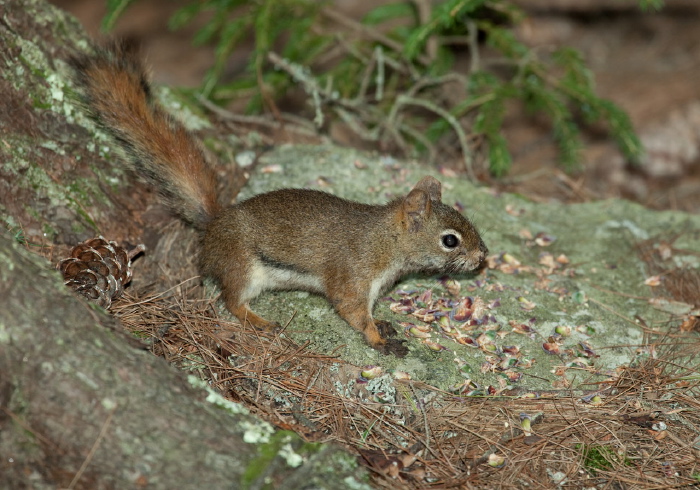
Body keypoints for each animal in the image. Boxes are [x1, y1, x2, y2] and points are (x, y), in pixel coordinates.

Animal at [69, 42, 486, 356]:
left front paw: (382, 324)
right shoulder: (352, 276)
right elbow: (352, 311)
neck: (386, 242)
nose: (483, 257)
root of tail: (215, 224)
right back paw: (260, 321)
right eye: (450, 240)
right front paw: (377, 339)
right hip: (241, 266)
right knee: (232, 301)